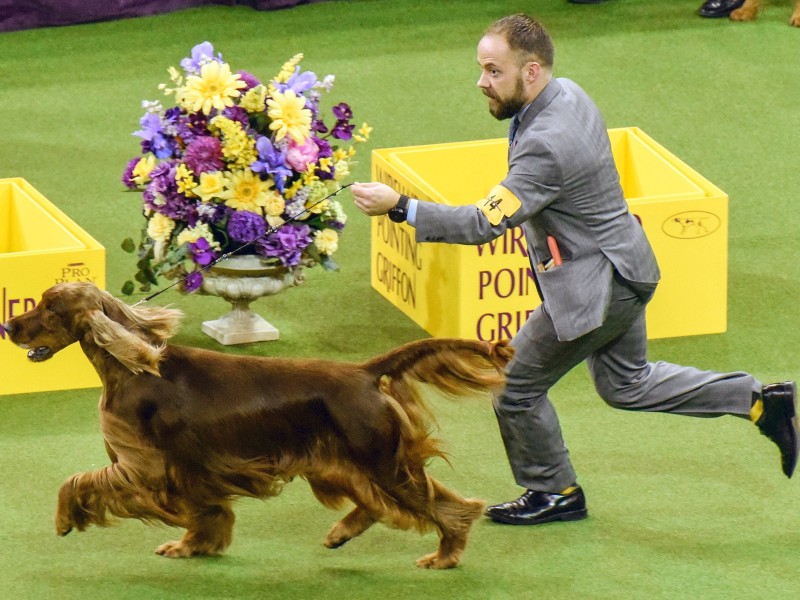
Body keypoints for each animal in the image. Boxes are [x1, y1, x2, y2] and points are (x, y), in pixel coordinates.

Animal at [3, 284, 512, 568]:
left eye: (50, 307)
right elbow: (209, 513)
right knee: (378, 503)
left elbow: (76, 481)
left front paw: (65, 519)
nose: (8, 327)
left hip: (380, 460)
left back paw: (445, 556)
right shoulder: (188, 472)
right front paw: (195, 546)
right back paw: (341, 533)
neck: (133, 367)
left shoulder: (145, 467)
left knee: (449, 507)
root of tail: (365, 371)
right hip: (342, 462)